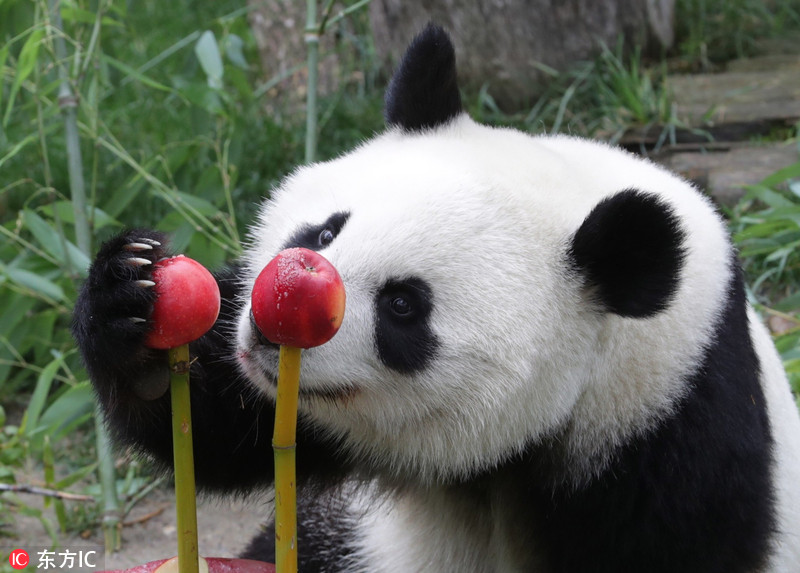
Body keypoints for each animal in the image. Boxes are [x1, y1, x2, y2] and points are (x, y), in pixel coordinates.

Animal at [73, 23, 800, 572]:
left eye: (404, 305)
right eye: (327, 230)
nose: (270, 328)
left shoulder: (665, 420)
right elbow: (222, 423)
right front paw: (130, 302)